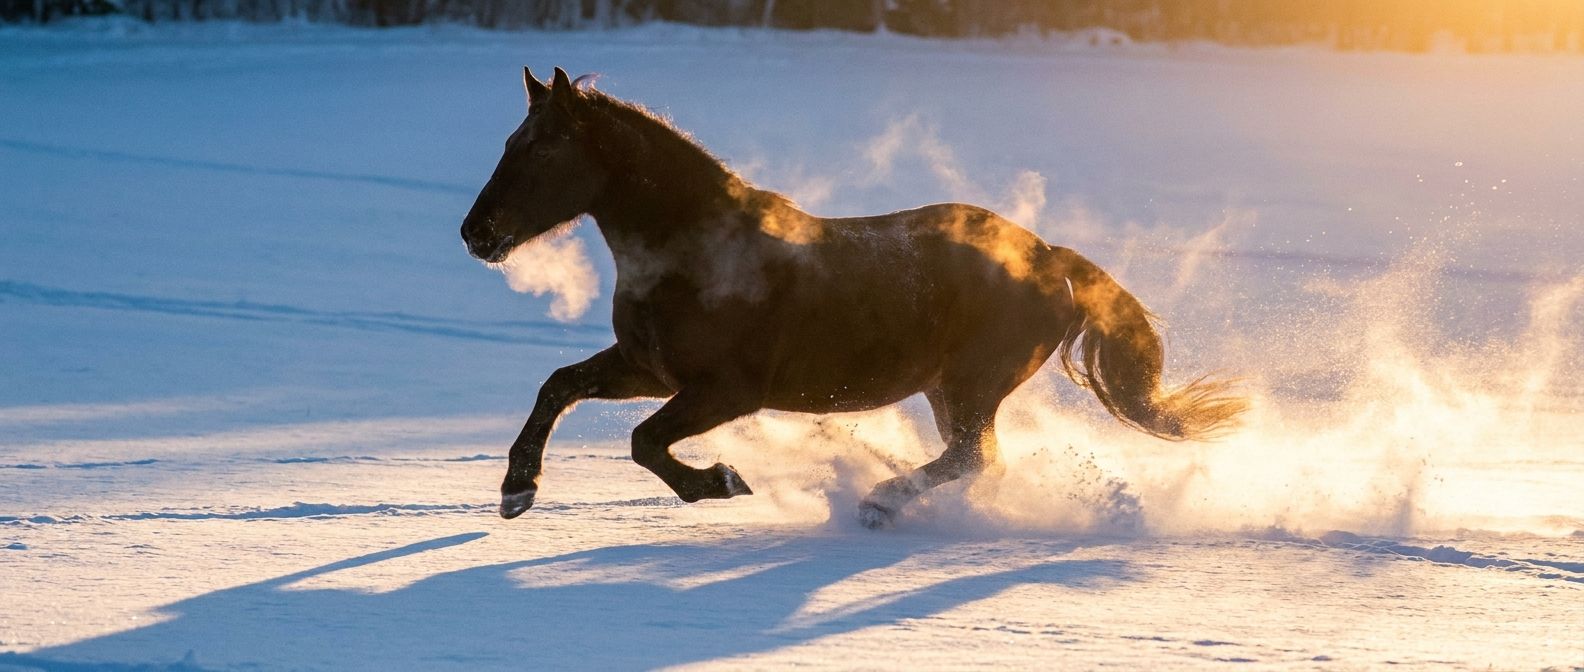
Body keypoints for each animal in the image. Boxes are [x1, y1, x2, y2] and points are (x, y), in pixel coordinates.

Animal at [460, 67, 1246, 528]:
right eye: (509, 141)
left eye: (541, 148)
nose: (476, 233)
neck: (696, 255)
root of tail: (1051, 259)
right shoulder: (648, 368)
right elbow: (558, 385)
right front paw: (516, 490)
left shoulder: (726, 390)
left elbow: (644, 441)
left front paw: (721, 481)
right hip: (948, 389)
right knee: (979, 461)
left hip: (971, 385)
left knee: (973, 459)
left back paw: (876, 503)